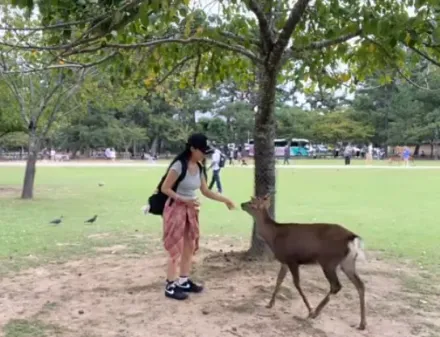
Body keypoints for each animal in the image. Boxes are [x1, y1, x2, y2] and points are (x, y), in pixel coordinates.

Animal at [241, 194, 368, 328]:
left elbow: (296, 283)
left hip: (328, 261)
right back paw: (362, 323)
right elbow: (279, 280)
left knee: (336, 285)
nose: (241, 204)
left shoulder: (292, 259)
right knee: (360, 285)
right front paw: (270, 303)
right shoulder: (284, 261)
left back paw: (315, 312)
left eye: (251, 202)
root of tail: (353, 237)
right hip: (348, 262)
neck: (273, 236)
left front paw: (309, 309)